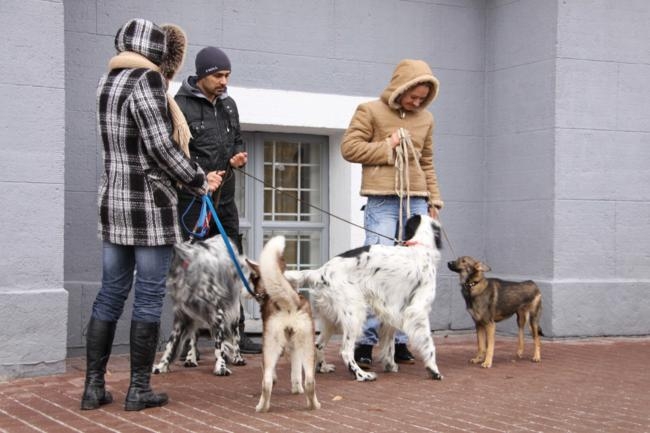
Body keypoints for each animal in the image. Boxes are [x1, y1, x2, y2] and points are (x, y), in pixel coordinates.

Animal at [152, 235, 251, 376]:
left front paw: (221, 366)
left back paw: (238, 357)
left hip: (234, 308)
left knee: (236, 333)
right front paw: (162, 366)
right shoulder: (183, 314)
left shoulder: (217, 313)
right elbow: (171, 344)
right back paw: (191, 358)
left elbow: (219, 345)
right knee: (194, 336)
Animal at [247, 236, 320, 412]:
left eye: (251, 277)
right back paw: (313, 405)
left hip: (270, 346)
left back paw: (262, 407)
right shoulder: (295, 347)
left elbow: (271, 373)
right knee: (310, 381)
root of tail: (290, 302)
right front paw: (297, 388)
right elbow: (296, 370)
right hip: (308, 346)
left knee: (266, 382)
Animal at [284, 214, 444, 382]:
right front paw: (433, 369)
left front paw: (390, 365)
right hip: (354, 315)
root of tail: (320, 272)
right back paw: (362, 374)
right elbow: (429, 343)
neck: (420, 248)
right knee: (345, 351)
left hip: (331, 320)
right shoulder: (418, 311)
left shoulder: (391, 313)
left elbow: (389, 345)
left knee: (318, 344)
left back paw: (323, 367)